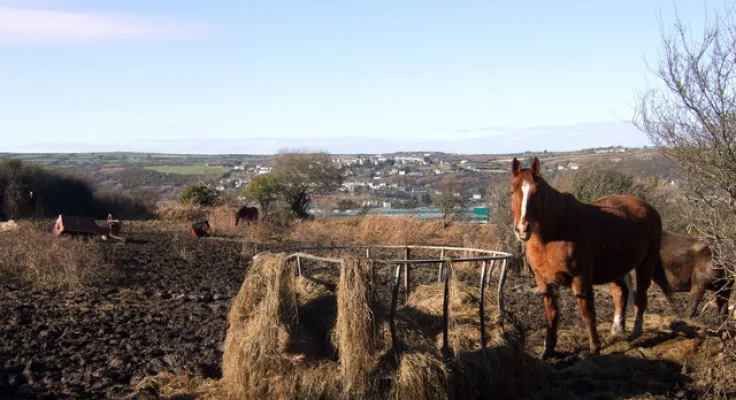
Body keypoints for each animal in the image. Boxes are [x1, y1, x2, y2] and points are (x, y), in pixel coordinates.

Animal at [510, 157, 662, 359]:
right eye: (513, 191)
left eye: (537, 192)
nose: (522, 229)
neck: (553, 234)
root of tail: (648, 208)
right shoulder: (544, 282)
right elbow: (551, 314)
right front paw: (547, 350)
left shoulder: (580, 278)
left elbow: (587, 312)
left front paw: (594, 348)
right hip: (615, 267)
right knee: (621, 292)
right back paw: (616, 330)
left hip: (646, 263)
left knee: (641, 294)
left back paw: (636, 332)